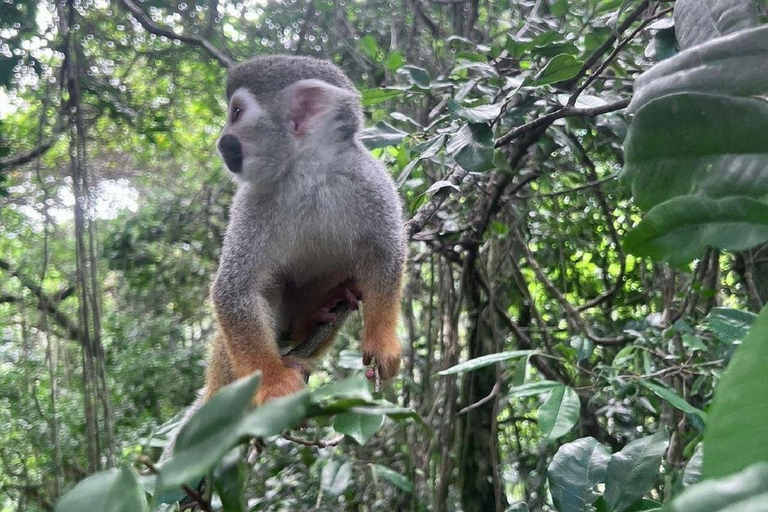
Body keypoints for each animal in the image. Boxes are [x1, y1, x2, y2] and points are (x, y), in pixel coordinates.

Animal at [207, 55, 406, 405]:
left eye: (236, 114)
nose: (221, 141)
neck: (308, 173)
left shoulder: (371, 180)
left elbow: (385, 255)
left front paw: (382, 341)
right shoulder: (251, 200)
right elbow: (234, 290)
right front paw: (272, 381)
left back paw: (315, 316)